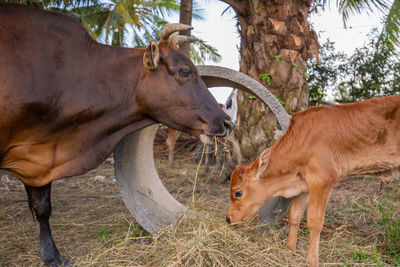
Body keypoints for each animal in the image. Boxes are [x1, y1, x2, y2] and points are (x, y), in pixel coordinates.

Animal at [225, 95, 400, 267]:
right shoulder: (303, 186)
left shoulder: (321, 181)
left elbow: (314, 222)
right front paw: (290, 249)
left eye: (238, 193)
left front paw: (312, 260)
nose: (228, 219)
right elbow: (294, 216)